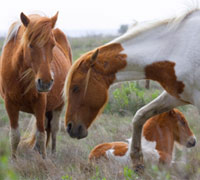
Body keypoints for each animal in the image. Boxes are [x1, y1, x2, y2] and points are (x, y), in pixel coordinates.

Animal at [0, 12, 72, 158]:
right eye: (30, 45)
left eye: (52, 45)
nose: (45, 82)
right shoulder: (10, 104)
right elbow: (15, 136)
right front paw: (14, 159)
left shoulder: (40, 103)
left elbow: (41, 135)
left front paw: (43, 160)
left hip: (58, 105)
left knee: (53, 129)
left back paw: (53, 154)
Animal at [64, 3, 200, 168]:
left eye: (75, 87)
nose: (69, 127)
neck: (178, 48)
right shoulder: (178, 95)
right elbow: (140, 115)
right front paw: (136, 158)